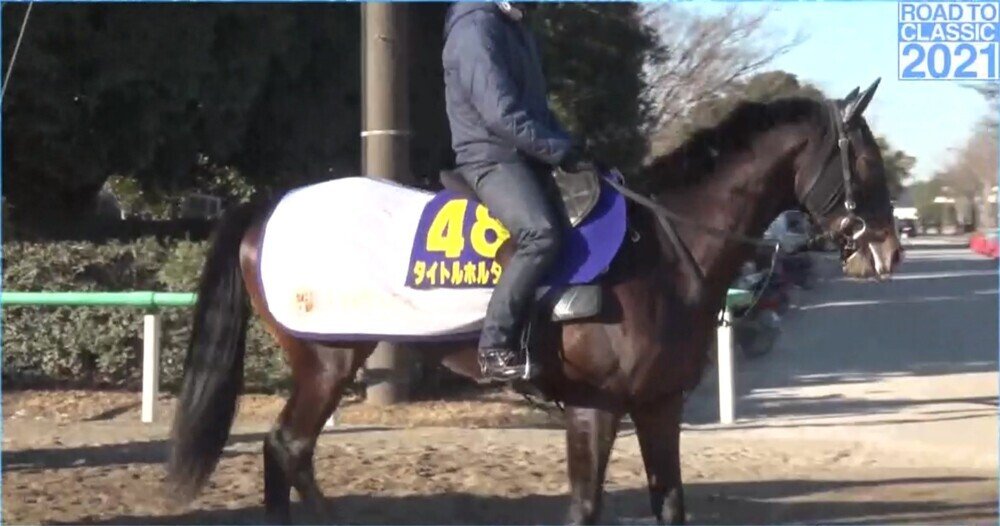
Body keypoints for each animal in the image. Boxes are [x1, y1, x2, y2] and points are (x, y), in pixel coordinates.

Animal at [166, 80, 902, 525]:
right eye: (867, 162)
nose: (888, 251)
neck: (664, 244)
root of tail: (269, 206)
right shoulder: (593, 407)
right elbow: (584, 507)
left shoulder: (658, 406)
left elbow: (669, 504)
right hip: (327, 360)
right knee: (288, 447)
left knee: (283, 452)